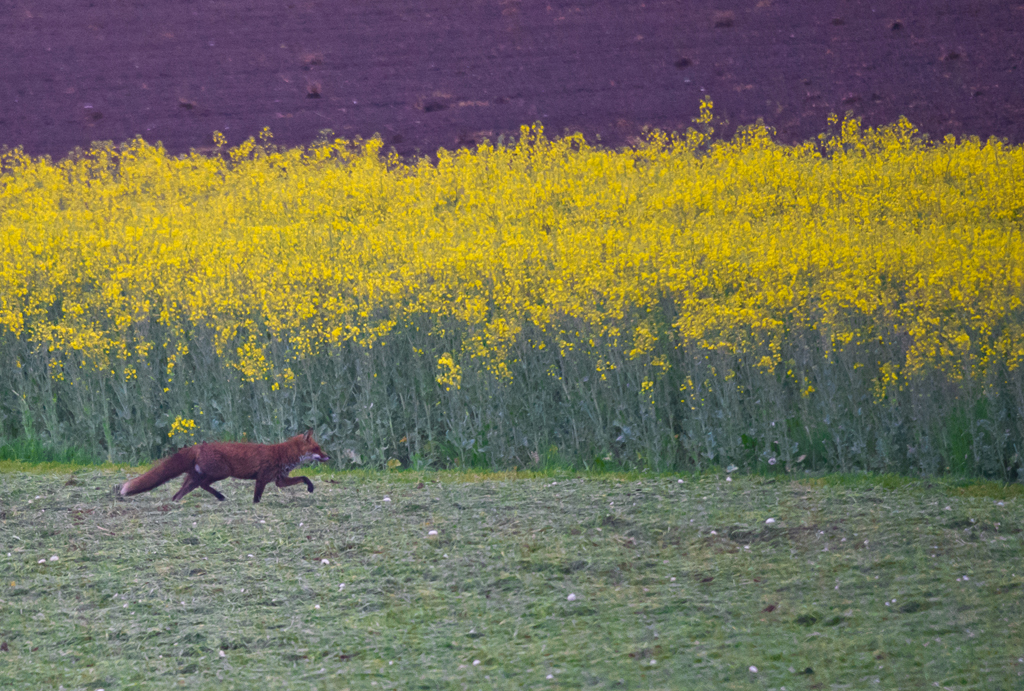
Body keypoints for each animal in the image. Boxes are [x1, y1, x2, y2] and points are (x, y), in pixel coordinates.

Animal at [119, 430, 330, 503]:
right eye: (317, 448)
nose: (328, 457)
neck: (282, 454)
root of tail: (199, 446)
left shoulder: (279, 480)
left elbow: (304, 478)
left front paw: (310, 487)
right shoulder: (262, 477)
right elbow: (257, 497)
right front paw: (256, 506)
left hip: (194, 478)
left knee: (178, 495)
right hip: (221, 473)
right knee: (204, 485)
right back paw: (220, 496)